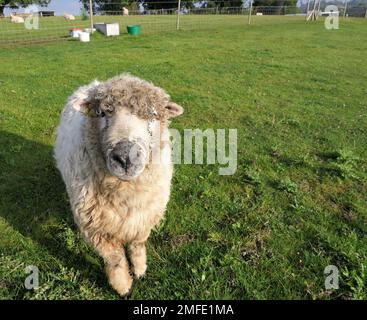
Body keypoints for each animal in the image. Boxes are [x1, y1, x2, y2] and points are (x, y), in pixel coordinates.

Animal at [54, 74, 185, 296]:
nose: (125, 157)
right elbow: (115, 258)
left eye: (152, 114)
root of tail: (93, 83)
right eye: (102, 113)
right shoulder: (96, 228)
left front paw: (140, 270)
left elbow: (138, 245)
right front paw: (123, 286)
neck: (126, 193)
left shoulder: (145, 217)